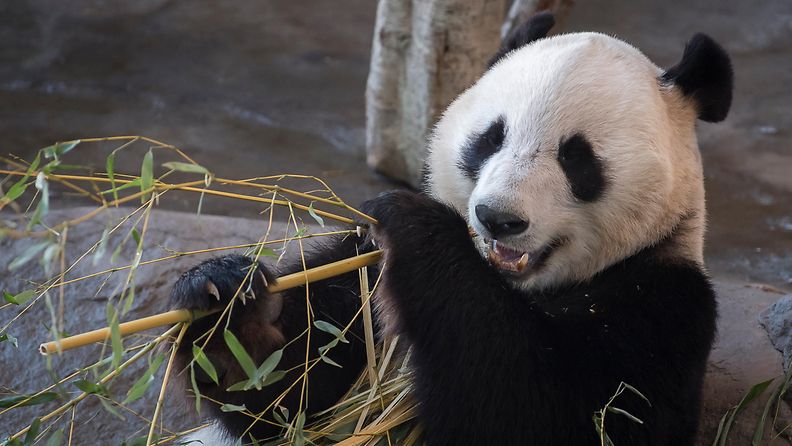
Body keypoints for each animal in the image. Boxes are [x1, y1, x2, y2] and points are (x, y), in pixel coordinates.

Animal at [170, 13, 732, 446]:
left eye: (577, 158)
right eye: (490, 138)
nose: (497, 217)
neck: (511, 287)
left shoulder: (662, 308)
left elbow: (541, 411)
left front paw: (418, 225)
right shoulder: (362, 284)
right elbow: (290, 397)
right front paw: (228, 297)